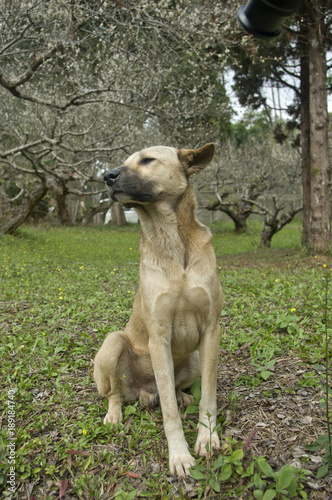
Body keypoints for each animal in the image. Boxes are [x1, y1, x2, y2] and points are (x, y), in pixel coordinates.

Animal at [94, 142, 223, 476]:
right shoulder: (159, 337)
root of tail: (144, 393)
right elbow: (169, 413)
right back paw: (114, 414)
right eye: (123, 162)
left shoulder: (211, 330)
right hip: (113, 343)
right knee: (114, 394)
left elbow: (208, 397)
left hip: (193, 360)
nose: (106, 176)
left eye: (147, 160)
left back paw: (182, 395)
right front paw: (179, 456)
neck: (172, 241)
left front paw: (207, 437)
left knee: (177, 389)